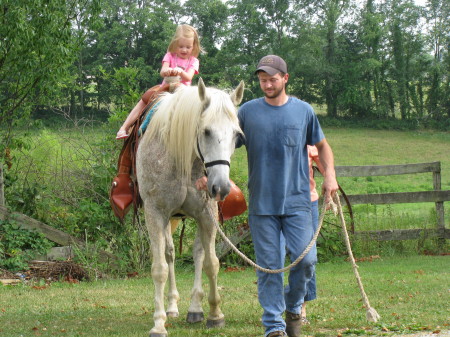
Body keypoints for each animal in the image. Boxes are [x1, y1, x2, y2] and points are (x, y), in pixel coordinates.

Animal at [135, 79, 244, 336]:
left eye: (237, 135)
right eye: (206, 131)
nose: (221, 187)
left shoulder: (206, 215)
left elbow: (211, 263)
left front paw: (215, 314)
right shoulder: (155, 214)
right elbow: (159, 269)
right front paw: (158, 323)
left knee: (198, 254)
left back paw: (195, 308)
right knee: (170, 254)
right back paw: (172, 307)